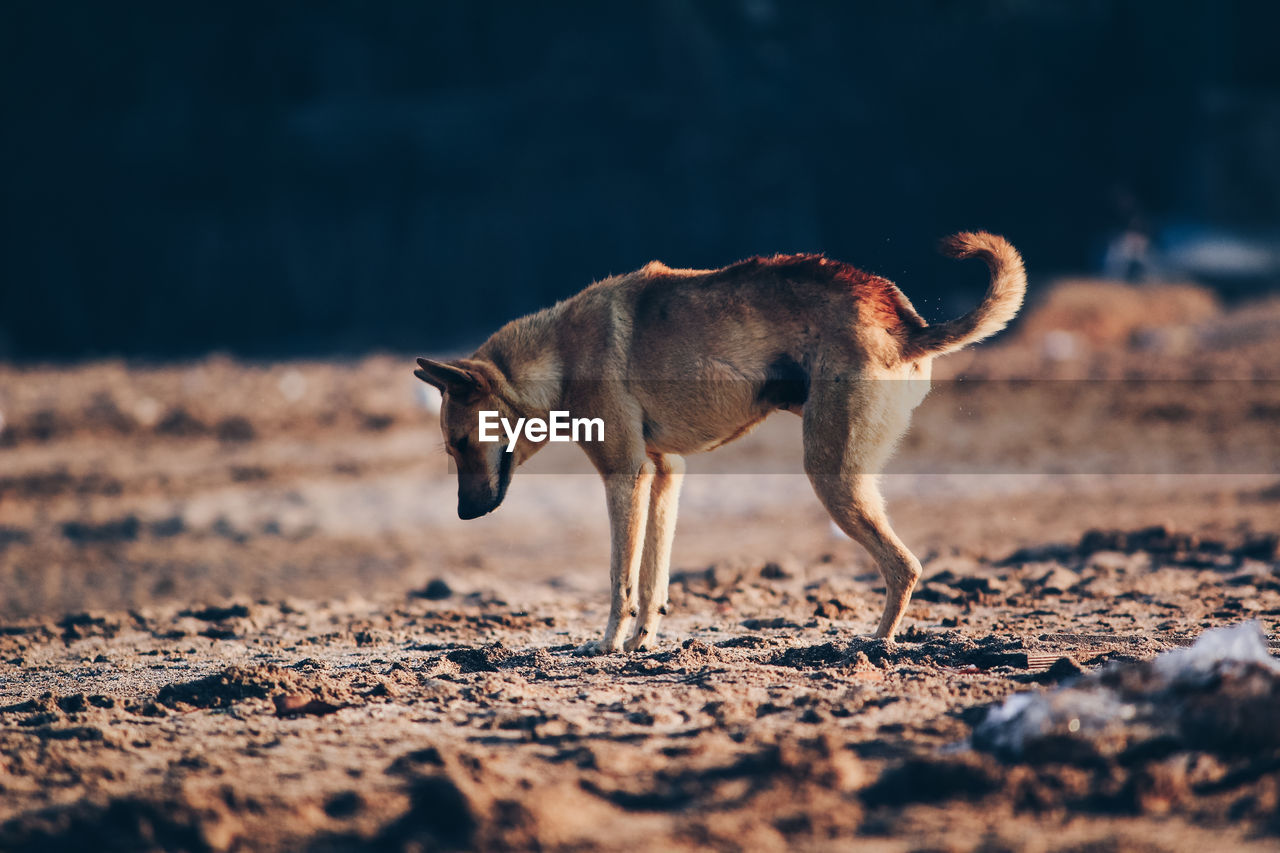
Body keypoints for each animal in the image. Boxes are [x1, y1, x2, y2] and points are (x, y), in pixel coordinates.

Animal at [414, 233, 1024, 650]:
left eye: (462, 442)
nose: (465, 515)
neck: (560, 354)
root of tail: (906, 323)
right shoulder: (664, 474)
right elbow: (653, 577)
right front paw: (641, 643)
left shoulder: (623, 475)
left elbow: (619, 577)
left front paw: (608, 644)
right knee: (905, 566)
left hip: (834, 478)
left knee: (905, 567)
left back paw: (873, 646)